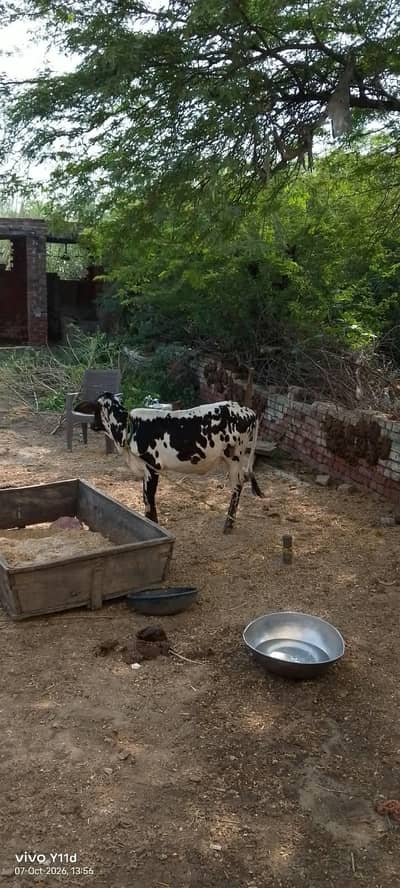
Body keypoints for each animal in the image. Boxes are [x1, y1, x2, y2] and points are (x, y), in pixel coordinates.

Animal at [76, 393, 264, 533]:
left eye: (94, 409)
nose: (93, 425)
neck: (128, 430)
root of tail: (247, 410)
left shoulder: (152, 466)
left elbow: (149, 498)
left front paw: (153, 524)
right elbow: (145, 497)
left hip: (235, 457)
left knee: (237, 486)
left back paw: (228, 524)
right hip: (235, 459)